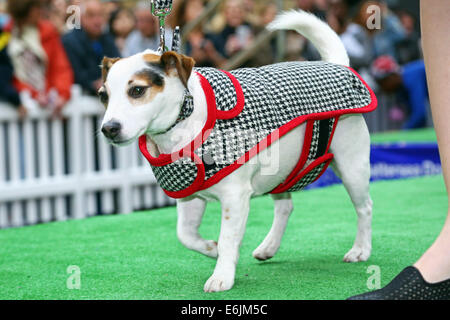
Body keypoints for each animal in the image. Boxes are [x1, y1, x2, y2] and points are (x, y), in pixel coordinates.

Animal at [99, 11, 376, 292]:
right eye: (103, 96)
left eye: (137, 90)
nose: (108, 129)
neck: (185, 117)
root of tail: (338, 65)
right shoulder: (190, 196)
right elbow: (185, 235)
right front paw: (212, 249)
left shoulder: (235, 197)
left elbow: (228, 238)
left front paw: (221, 275)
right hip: (281, 169)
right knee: (285, 207)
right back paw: (269, 246)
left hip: (352, 167)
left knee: (365, 207)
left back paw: (360, 249)